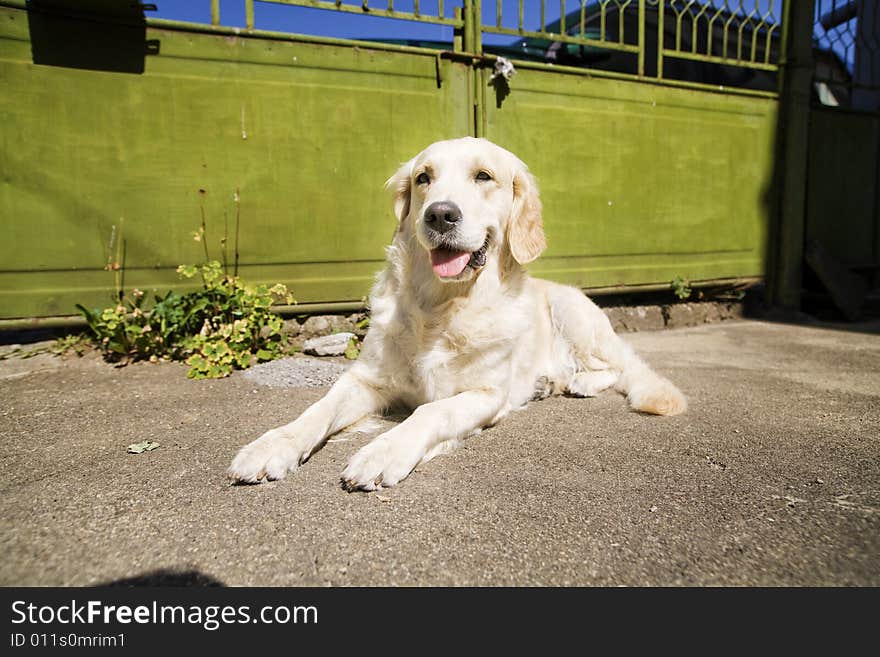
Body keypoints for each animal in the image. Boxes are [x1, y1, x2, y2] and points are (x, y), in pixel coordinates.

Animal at [227, 136, 688, 490]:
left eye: (483, 176)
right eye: (423, 178)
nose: (440, 214)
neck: (442, 306)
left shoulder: (485, 394)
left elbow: (432, 410)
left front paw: (383, 451)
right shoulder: (368, 379)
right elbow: (317, 411)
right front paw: (272, 446)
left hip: (572, 311)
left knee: (615, 367)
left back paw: (579, 383)